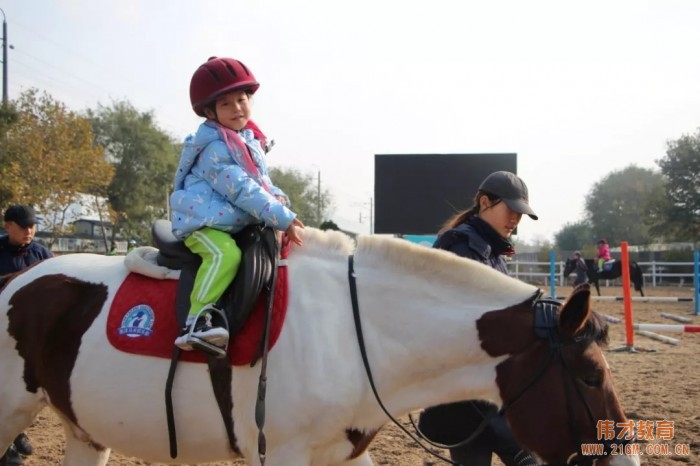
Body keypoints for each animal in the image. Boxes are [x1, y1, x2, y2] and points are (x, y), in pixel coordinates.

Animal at [0, 228, 636, 466]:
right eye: (588, 376)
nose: (624, 458)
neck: (356, 333)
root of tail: (18, 279)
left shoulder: (343, 455)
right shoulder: (283, 454)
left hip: (86, 433)